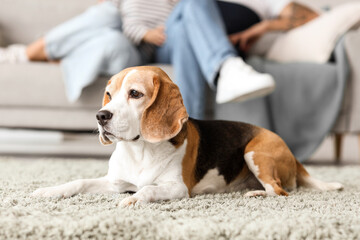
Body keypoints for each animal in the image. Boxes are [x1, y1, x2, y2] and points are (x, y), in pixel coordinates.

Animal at [33, 66, 344, 206]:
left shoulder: (177, 188)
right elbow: (78, 182)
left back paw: (255, 192)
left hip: (255, 152)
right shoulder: (115, 183)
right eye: (109, 94)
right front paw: (49, 190)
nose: (101, 116)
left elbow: (148, 189)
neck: (140, 150)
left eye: (135, 93)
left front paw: (134, 200)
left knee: (279, 191)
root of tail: (287, 148)